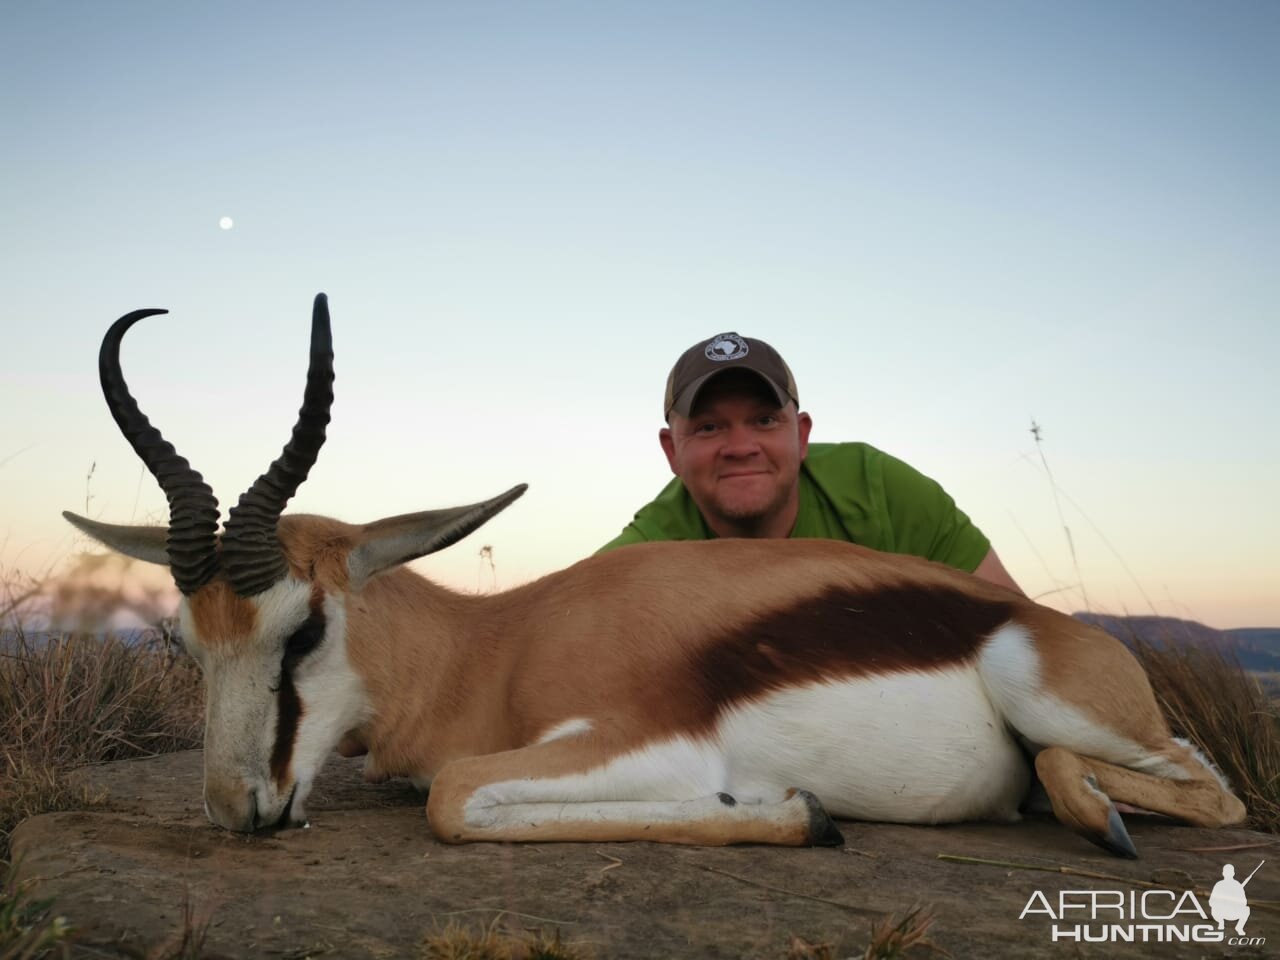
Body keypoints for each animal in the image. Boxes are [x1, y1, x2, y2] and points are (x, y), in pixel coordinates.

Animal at [64, 296, 1244, 860]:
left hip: (1056, 703)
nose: (237, 810)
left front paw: (800, 814)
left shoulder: (643, 742)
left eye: (302, 630)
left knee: (1204, 788)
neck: (494, 647)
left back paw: (1100, 821)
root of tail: (1040, 622)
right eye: (189, 640)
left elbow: (452, 799)